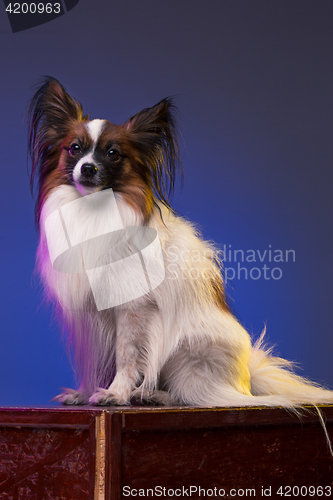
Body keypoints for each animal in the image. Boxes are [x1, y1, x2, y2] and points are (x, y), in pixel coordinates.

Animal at [27, 75, 332, 410]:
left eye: (113, 154)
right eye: (74, 149)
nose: (88, 168)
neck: (93, 211)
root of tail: (246, 380)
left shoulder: (133, 310)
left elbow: (126, 356)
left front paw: (115, 394)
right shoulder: (90, 319)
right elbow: (96, 360)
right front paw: (84, 392)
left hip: (187, 352)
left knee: (193, 395)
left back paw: (151, 395)